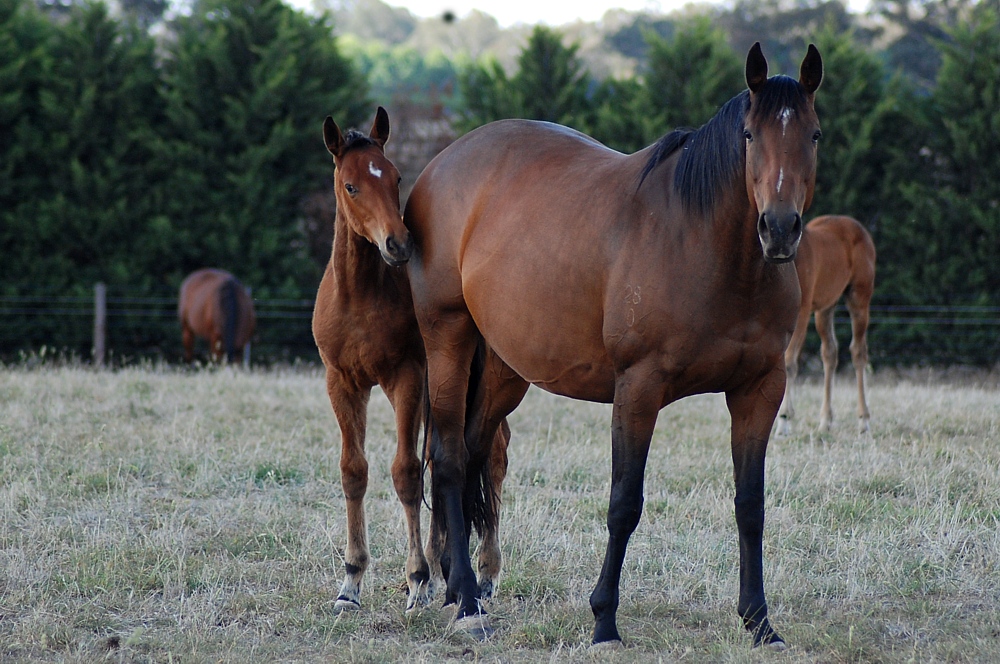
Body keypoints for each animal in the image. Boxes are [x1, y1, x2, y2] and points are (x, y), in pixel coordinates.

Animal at [312, 107, 512, 612]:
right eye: (351, 185)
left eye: (396, 176)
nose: (398, 244)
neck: (359, 297)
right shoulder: (341, 382)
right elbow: (354, 471)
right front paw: (350, 583)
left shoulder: (405, 378)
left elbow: (405, 473)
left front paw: (419, 577)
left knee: (494, 454)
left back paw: (484, 574)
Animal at [402, 44, 824, 644]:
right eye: (748, 135)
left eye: (813, 134)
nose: (781, 228)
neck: (703, 243)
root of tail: (440, 165)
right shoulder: (639, 388)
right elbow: (624, 502)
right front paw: (604, 619)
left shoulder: (760, 390)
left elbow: (751, 504)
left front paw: (759, 620)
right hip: (448, 338)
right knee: (450, 458)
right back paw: (464, 601)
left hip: (505, 370)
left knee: (474, 453)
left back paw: (461, 589)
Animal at [772, 214, 876, 436]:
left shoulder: (801, 312)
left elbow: (789, 361)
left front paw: (784, 420)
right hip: (826, 308)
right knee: (830, 353)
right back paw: (825, 420)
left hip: (859, 298)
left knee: (858, 352)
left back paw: (863, 421)